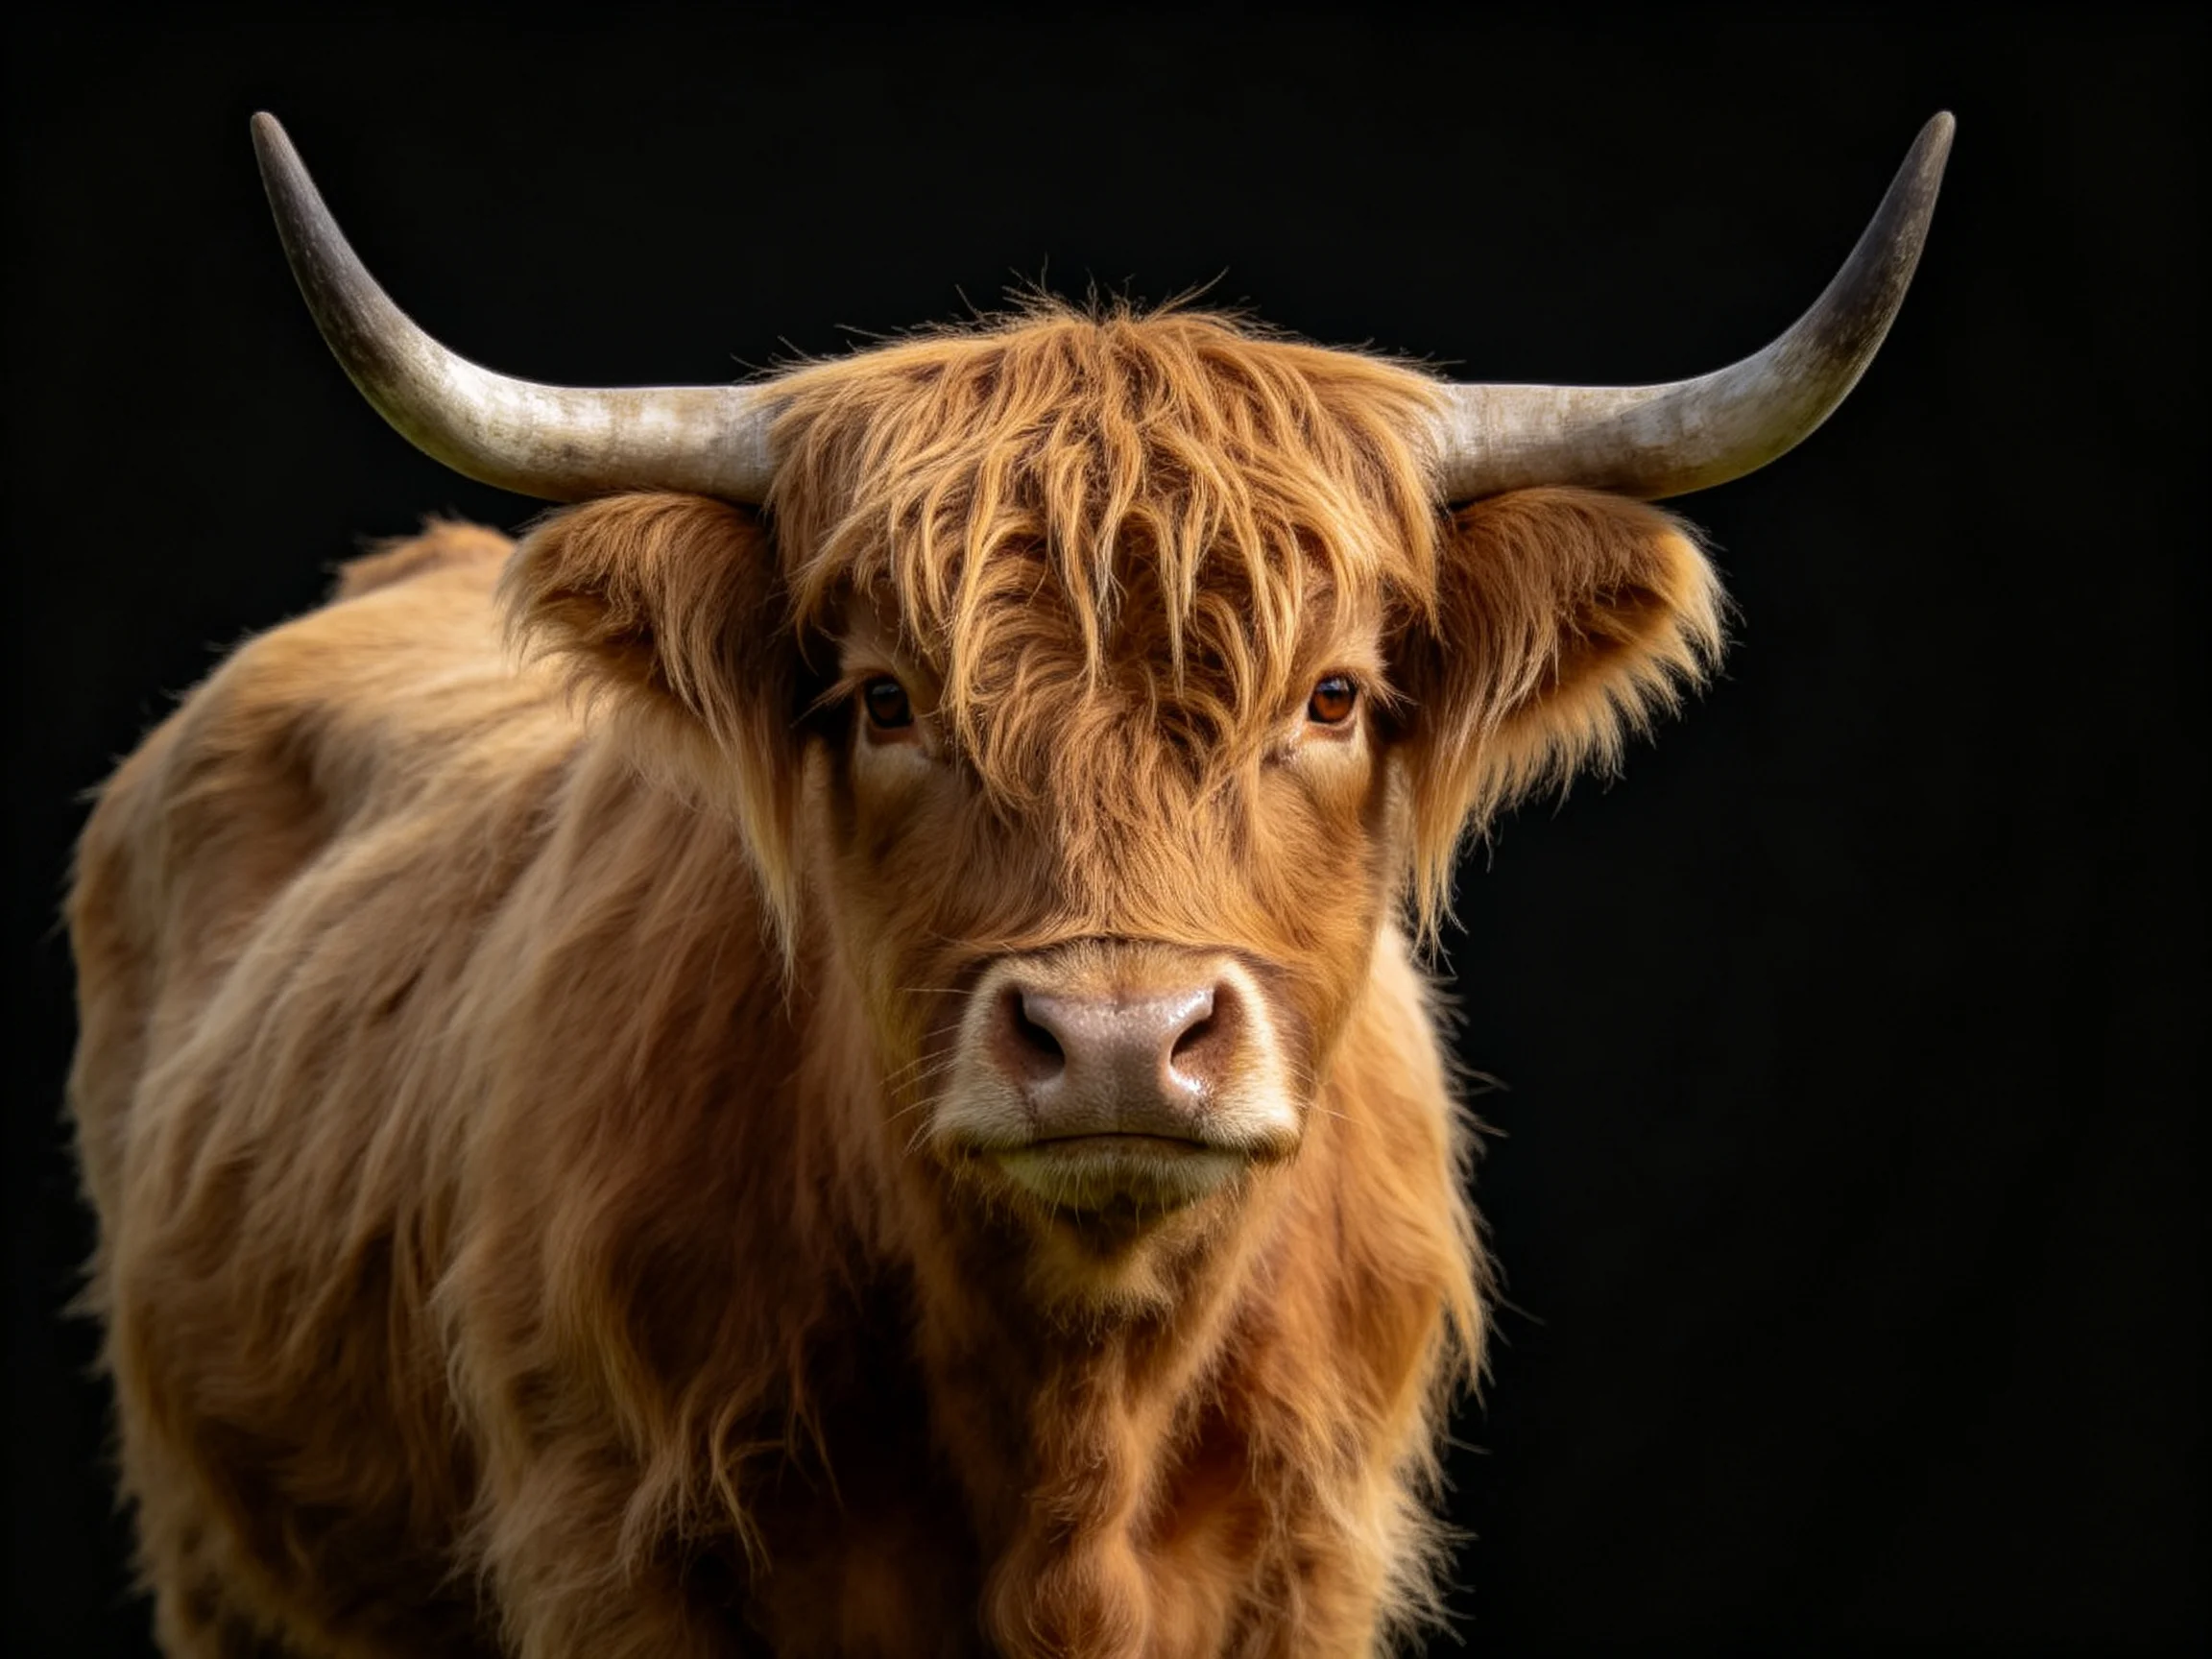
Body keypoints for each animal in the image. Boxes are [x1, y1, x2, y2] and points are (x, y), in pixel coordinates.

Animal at [64, 113, 1950, 1657]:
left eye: (1334, 697)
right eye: (887, 700)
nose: (1117, 1040)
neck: (1070, 1428)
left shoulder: (1313, 1561)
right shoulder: (601, 1535)